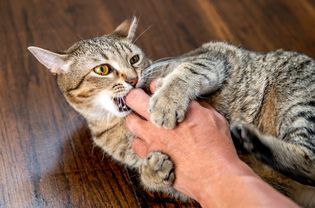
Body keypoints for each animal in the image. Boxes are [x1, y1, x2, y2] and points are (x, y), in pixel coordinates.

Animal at [28, 17, 315, 206]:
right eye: (102, 69)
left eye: (134, 59)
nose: (133, 78)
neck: (115, 125)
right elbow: (157, 179)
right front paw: (152, 171)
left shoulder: (211, 56)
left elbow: (185, 72)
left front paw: (165, 102)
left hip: (299, 104)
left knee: (309, 161)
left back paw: (250, 139)